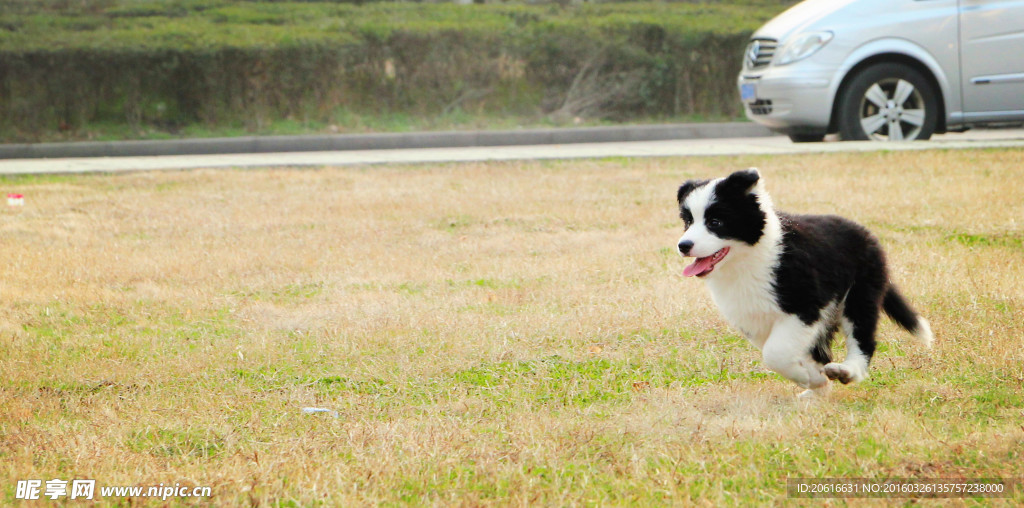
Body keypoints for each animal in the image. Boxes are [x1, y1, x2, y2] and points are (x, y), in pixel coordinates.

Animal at [675, 168, 933, 399]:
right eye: (688, 221)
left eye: (715, 222)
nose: (683, 245)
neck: (750, 257)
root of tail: (867, 235)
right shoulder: (753, 319)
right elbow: (789, 352)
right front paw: (816, 380)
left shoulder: (805, 307)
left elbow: (775, 353)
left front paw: (808, 378)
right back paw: (819, 391)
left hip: (860, 293)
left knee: (863, 338)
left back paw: (847, 371)